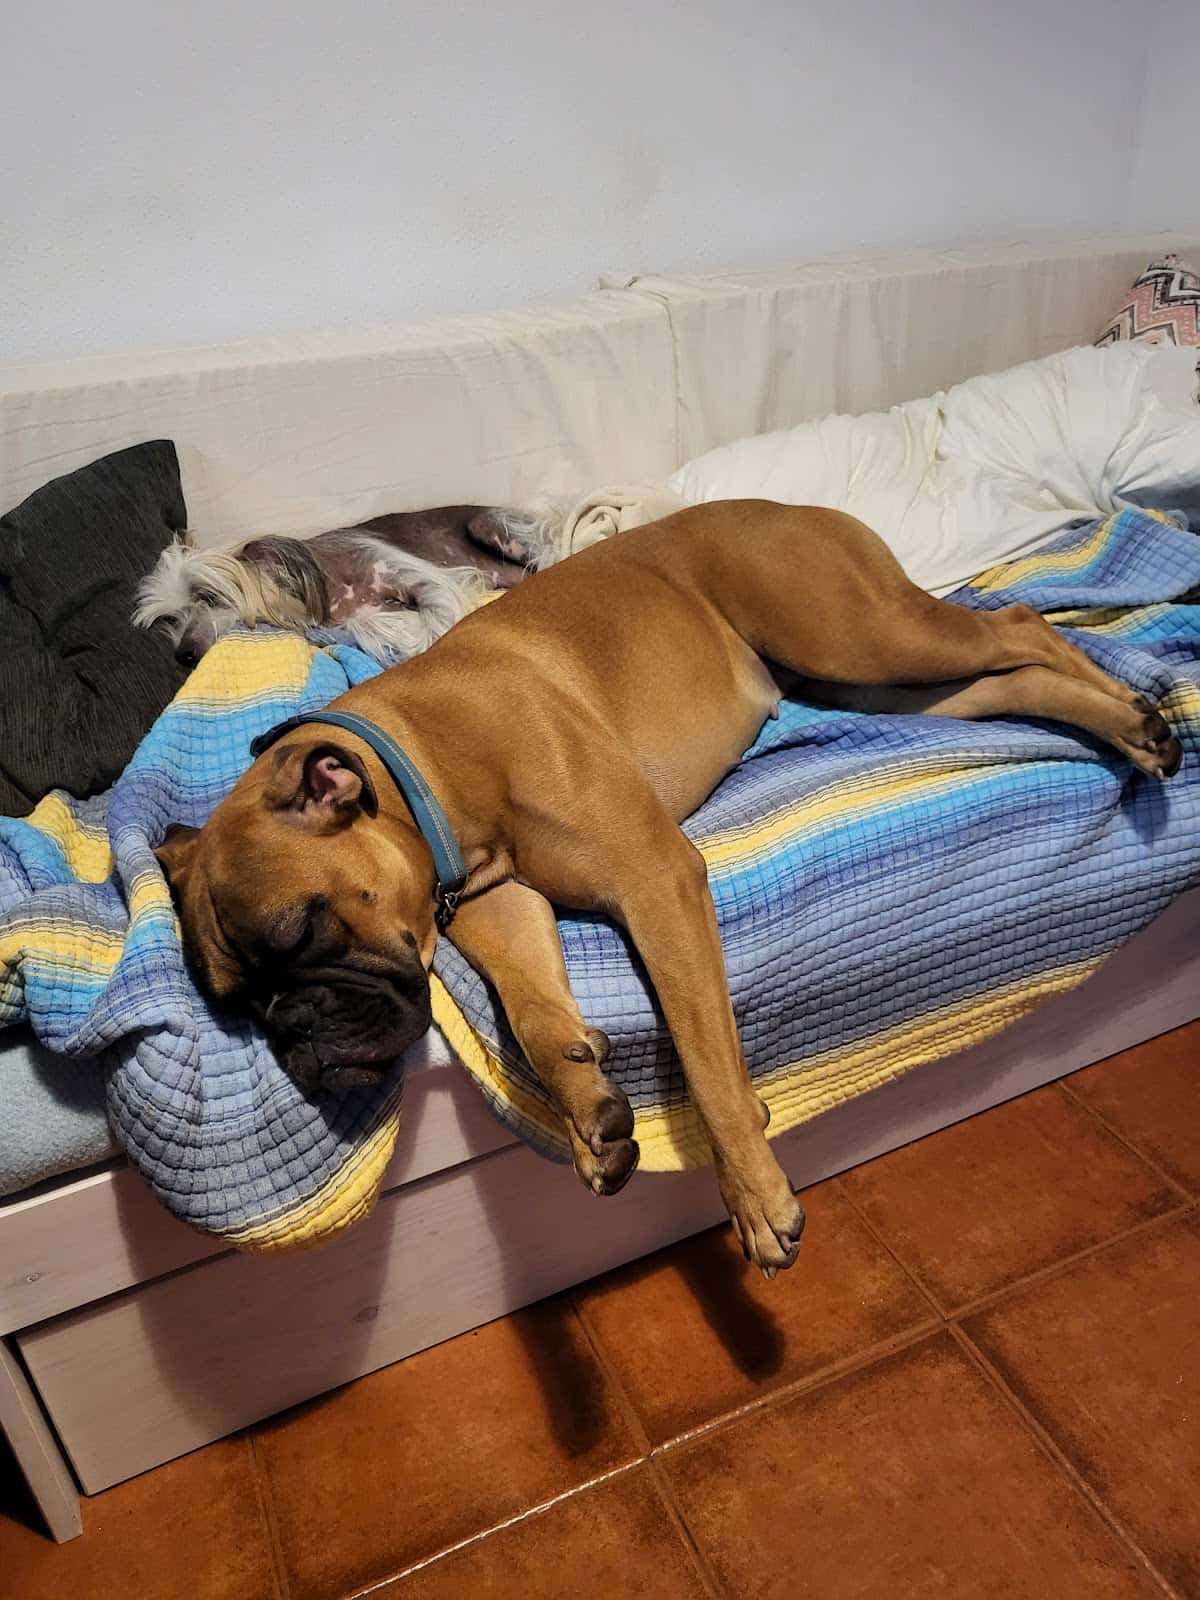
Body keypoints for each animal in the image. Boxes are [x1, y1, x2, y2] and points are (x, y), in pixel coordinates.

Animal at [134, 505, 549, 668]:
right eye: (171, 618)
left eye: (207, 595)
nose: (183, 655)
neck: (331, 583)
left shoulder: (424, 581)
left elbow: (436, 618)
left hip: (489, 526)